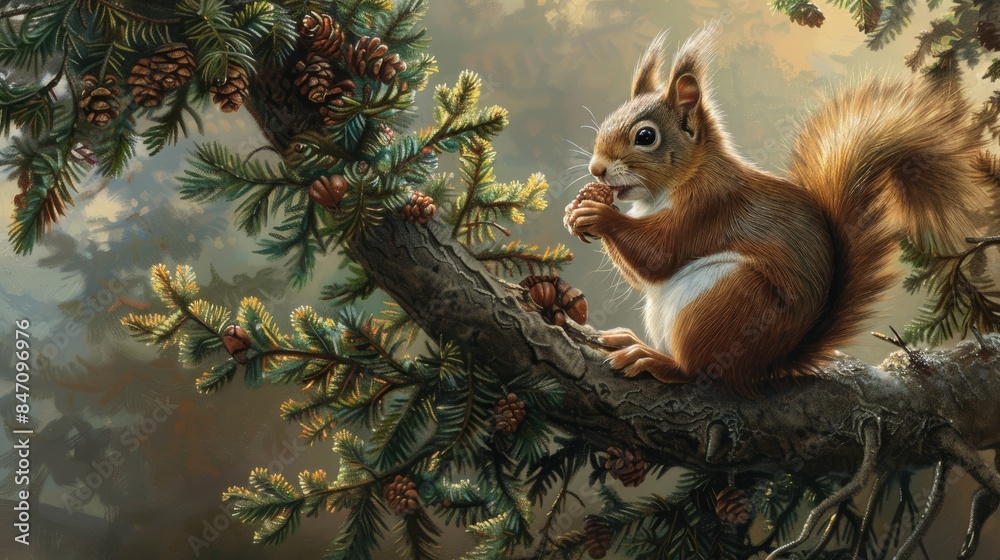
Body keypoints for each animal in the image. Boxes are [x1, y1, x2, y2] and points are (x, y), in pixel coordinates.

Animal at [564, 27, 990, 396]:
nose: (597, 169)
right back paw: (631, 340)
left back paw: (654, 359)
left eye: (646, 136)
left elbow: (658, 255)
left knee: (700, 372)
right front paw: (574, 210)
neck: (679, 181)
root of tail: (766, 365)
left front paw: (598, 216)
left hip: (725, 302)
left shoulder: (709, 207)